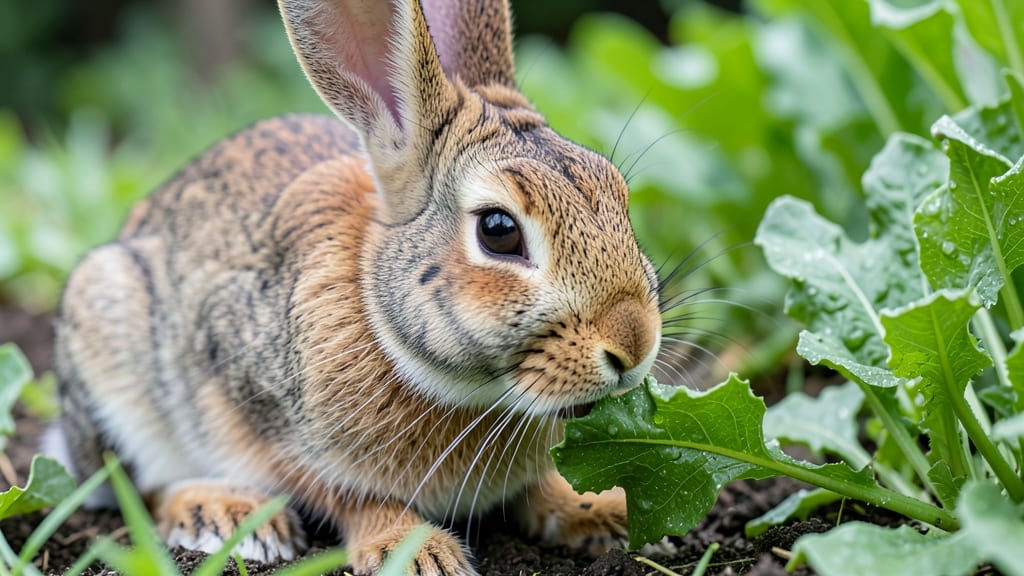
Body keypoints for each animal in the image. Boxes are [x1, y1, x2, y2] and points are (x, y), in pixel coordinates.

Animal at [49, 0, 663, 573]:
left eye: (618, 194)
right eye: (499, 230)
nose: (633, 347)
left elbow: (546, 489)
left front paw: (603, 512)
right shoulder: (271, 426)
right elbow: (353, 499)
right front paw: (417, 554)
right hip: (112, 345)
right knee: (138, 483)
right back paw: (228, 516)